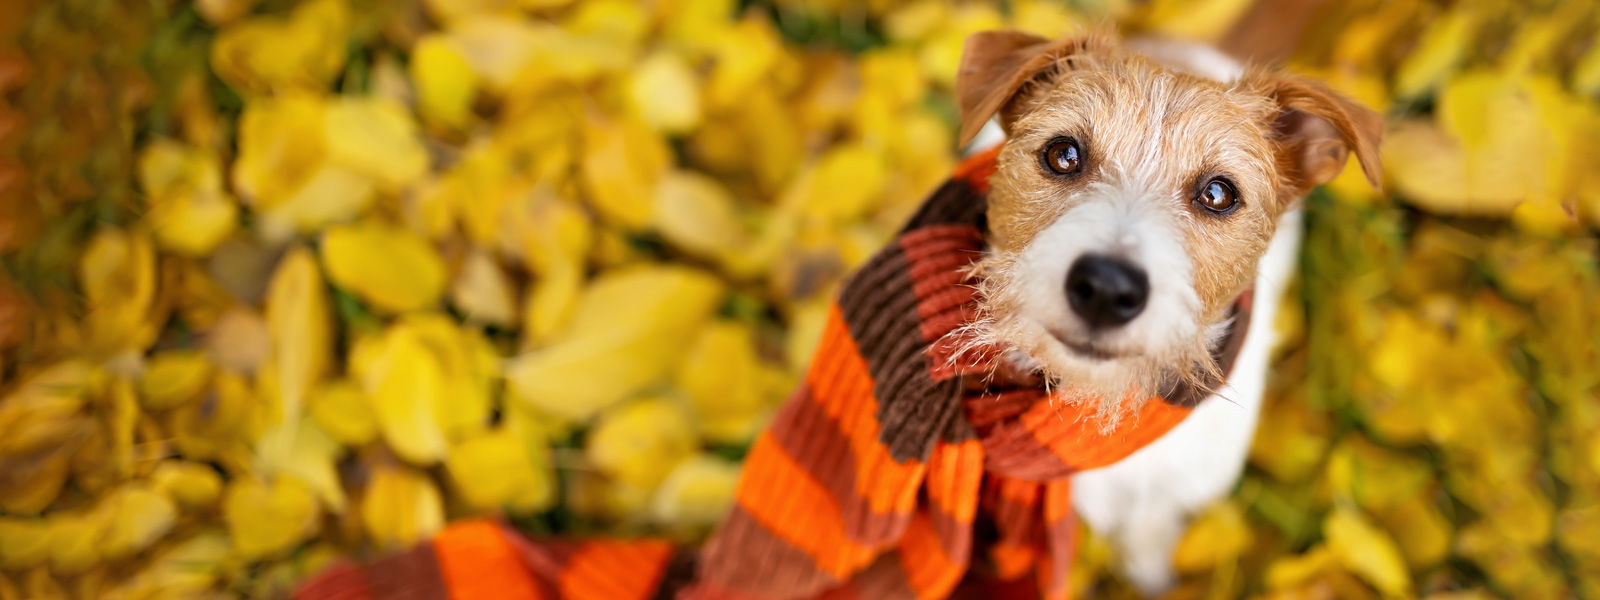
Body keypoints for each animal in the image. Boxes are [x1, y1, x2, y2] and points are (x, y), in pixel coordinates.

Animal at [953, 30, 1382, 595]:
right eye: (1063, 154)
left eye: (1218, 193)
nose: (1106, 289)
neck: (1103, 407)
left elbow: (1151, 532)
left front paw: (1152, 574)